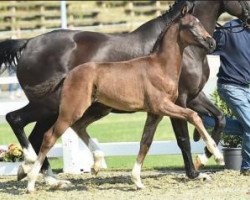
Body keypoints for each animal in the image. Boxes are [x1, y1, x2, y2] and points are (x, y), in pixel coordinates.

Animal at [0, 0, 249, 187]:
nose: (211, 42)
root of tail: (28, 43)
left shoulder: (193, 97)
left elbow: (219, 118)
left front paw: (204, 158)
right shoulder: (180, 100)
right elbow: (183, 138)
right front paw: (196, 170)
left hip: (65, 109)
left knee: (39, 134)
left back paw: (49, 177)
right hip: (51, 106)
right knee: (19, 121)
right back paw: (31, 167)